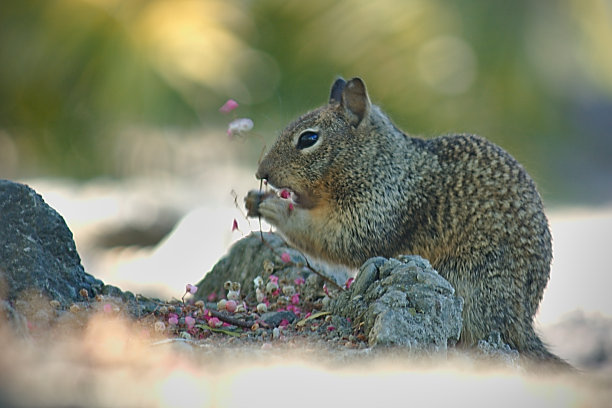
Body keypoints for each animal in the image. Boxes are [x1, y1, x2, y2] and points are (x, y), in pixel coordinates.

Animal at [246, 77, 572, 370]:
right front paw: (254, 199)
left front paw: (276, 208)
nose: (261, 173)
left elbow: (334, 238)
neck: (380, 163)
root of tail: (523, 323)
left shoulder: (374, 211)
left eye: (308, 139)